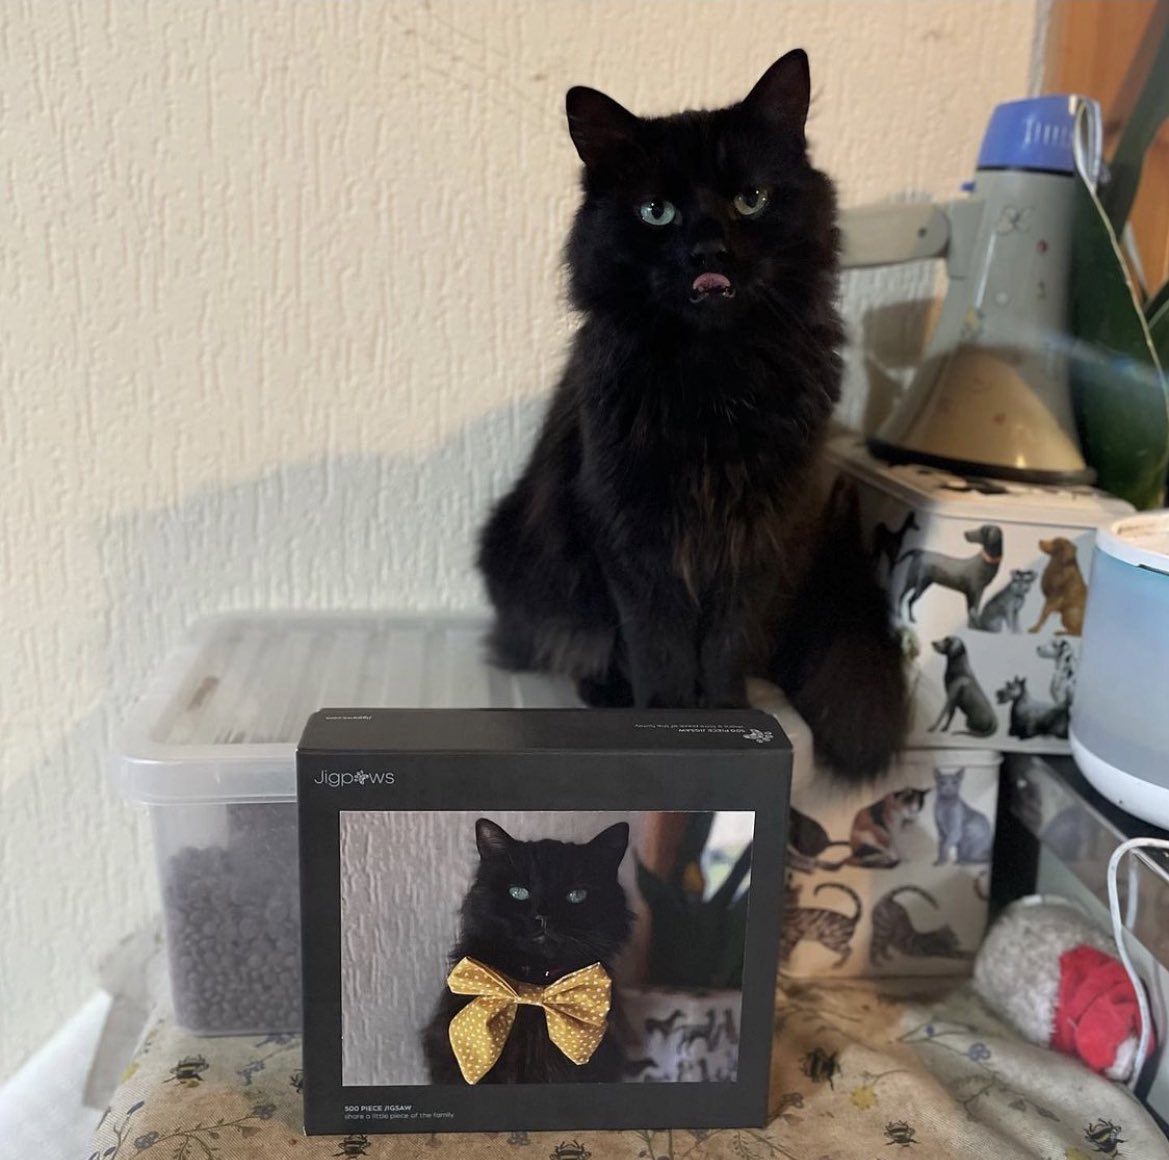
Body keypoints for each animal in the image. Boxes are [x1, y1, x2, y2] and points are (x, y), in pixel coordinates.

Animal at [474, 52, 902, 781]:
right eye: (657, 212)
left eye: (750, 199)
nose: (708, 252)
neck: (712, 376)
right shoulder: (632, 533)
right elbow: (659, 648)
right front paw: (664, 720)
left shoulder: (756, 534)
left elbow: (725, 643)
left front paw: (725, 720)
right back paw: (604, 691)